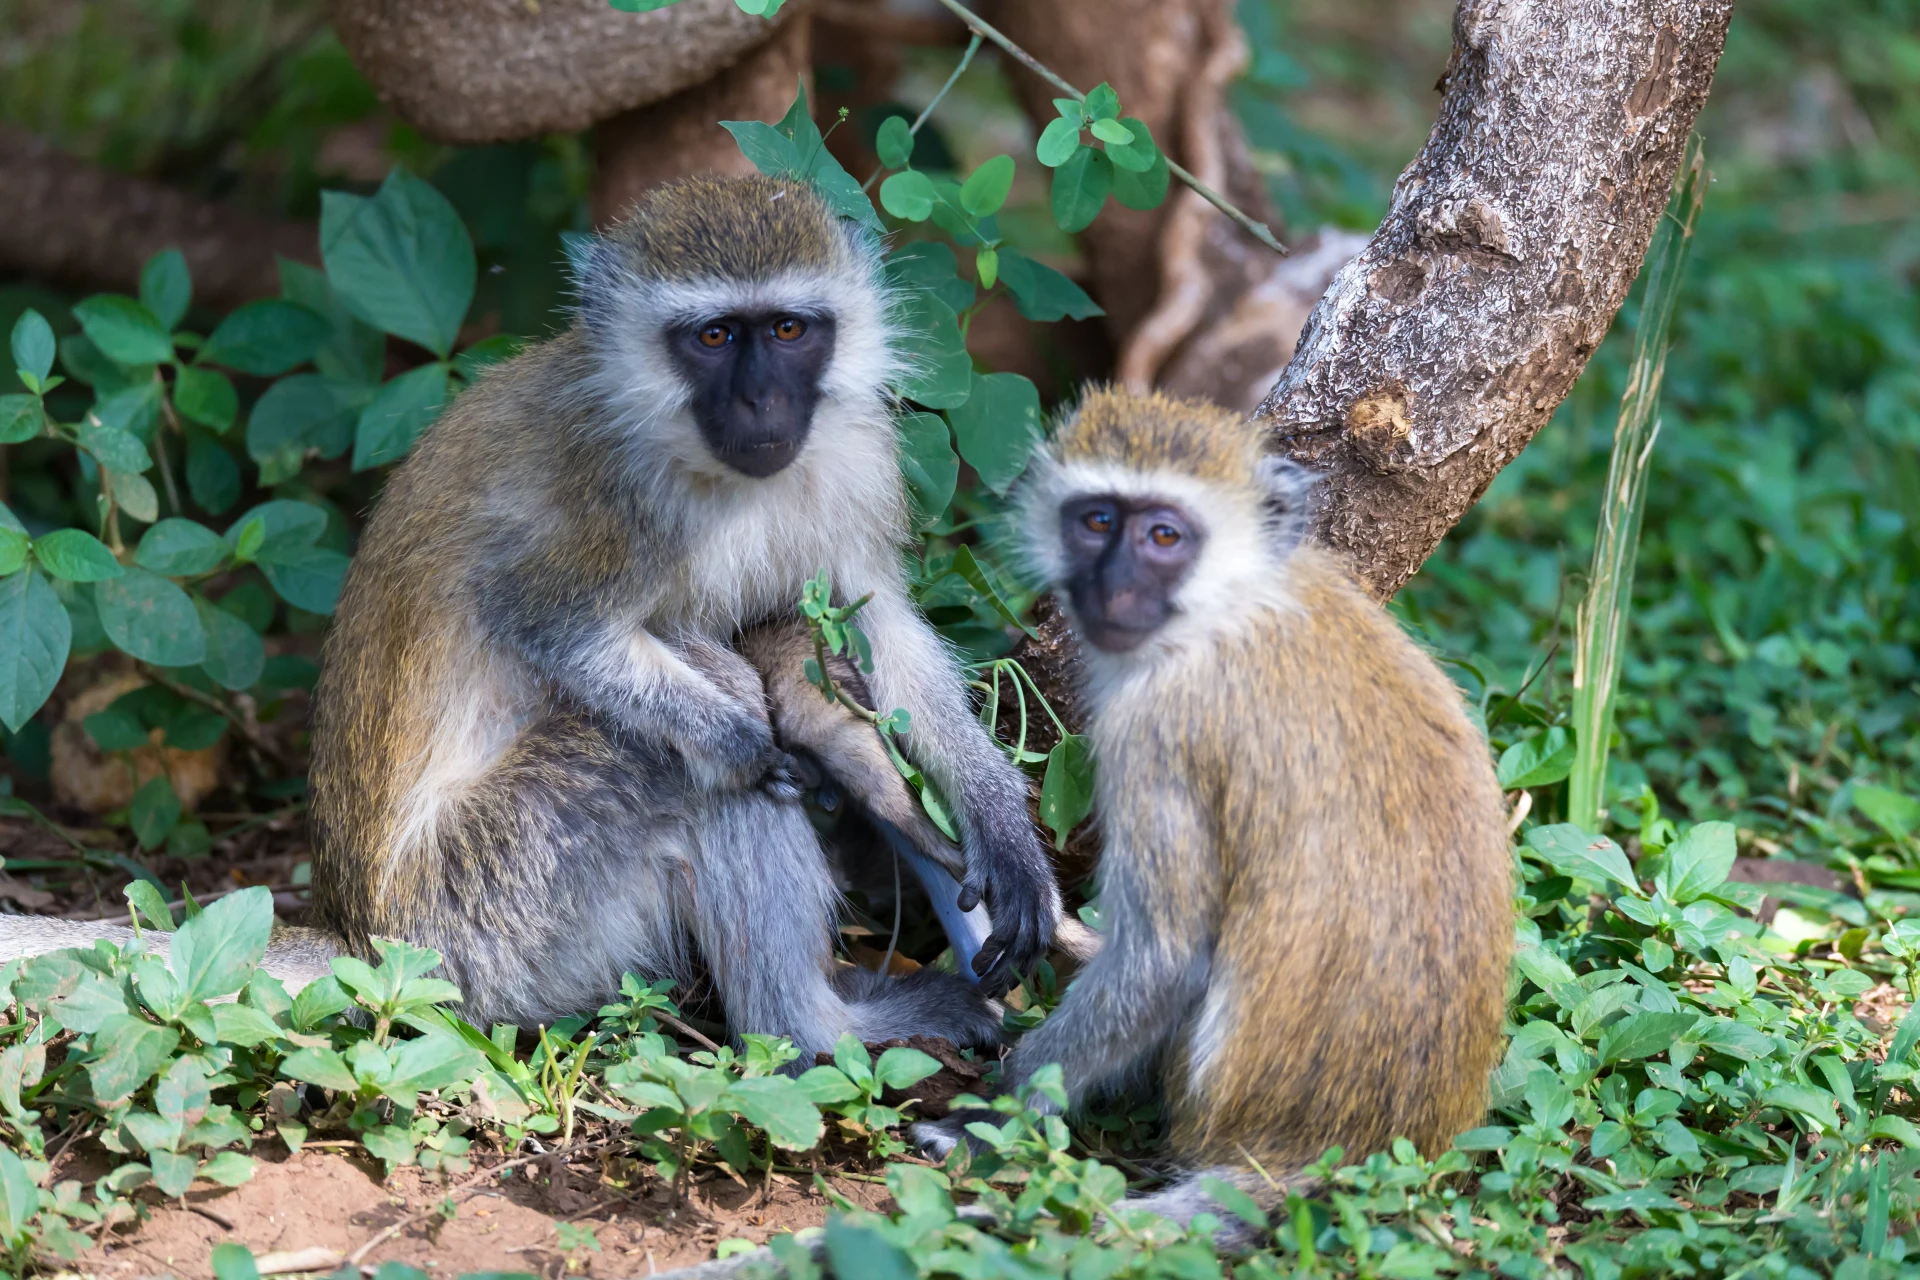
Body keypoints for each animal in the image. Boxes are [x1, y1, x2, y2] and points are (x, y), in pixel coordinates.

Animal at [912, 387, 1512, 1244]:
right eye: (1097, 520)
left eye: (1164, 535)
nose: (1111, 587)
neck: (1229, 605)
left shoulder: (1156, 731)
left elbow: (1160, 961)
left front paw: (992, 1115)